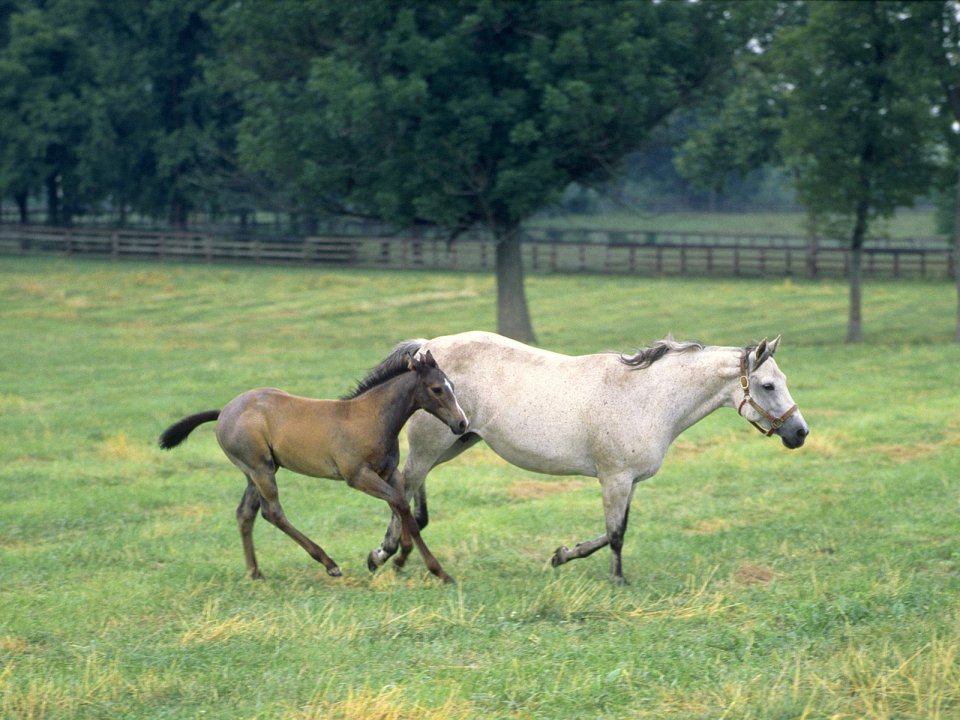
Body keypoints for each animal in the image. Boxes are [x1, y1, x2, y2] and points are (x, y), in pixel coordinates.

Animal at [158, 348, 468, 583]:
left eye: (452, 386)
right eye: (437, 389)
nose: (461, 423)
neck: (370, 418)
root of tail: (223, 411)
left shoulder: (389, 473)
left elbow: (403, 507)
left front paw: (392, 555)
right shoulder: (357, 476)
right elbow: (401, 504)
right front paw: (435, 570)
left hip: (254, 471)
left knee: (245, 513)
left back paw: (256, 573)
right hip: (260, 468)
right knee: (273, 512)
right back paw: (329, 564)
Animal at [367, 331, 809, 584]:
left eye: (782, 380)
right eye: (768, 385)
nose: (800, 432)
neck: (648, 397)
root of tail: (426, 350)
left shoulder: (628, 482)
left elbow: (614, 530)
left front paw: (562, 555)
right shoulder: (614, 478)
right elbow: (615, 534)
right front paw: (617, 582)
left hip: (458, 440)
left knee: (412, 493)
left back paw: (398, 557)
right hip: (433, 444)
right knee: (404, 487)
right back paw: (385, 555)